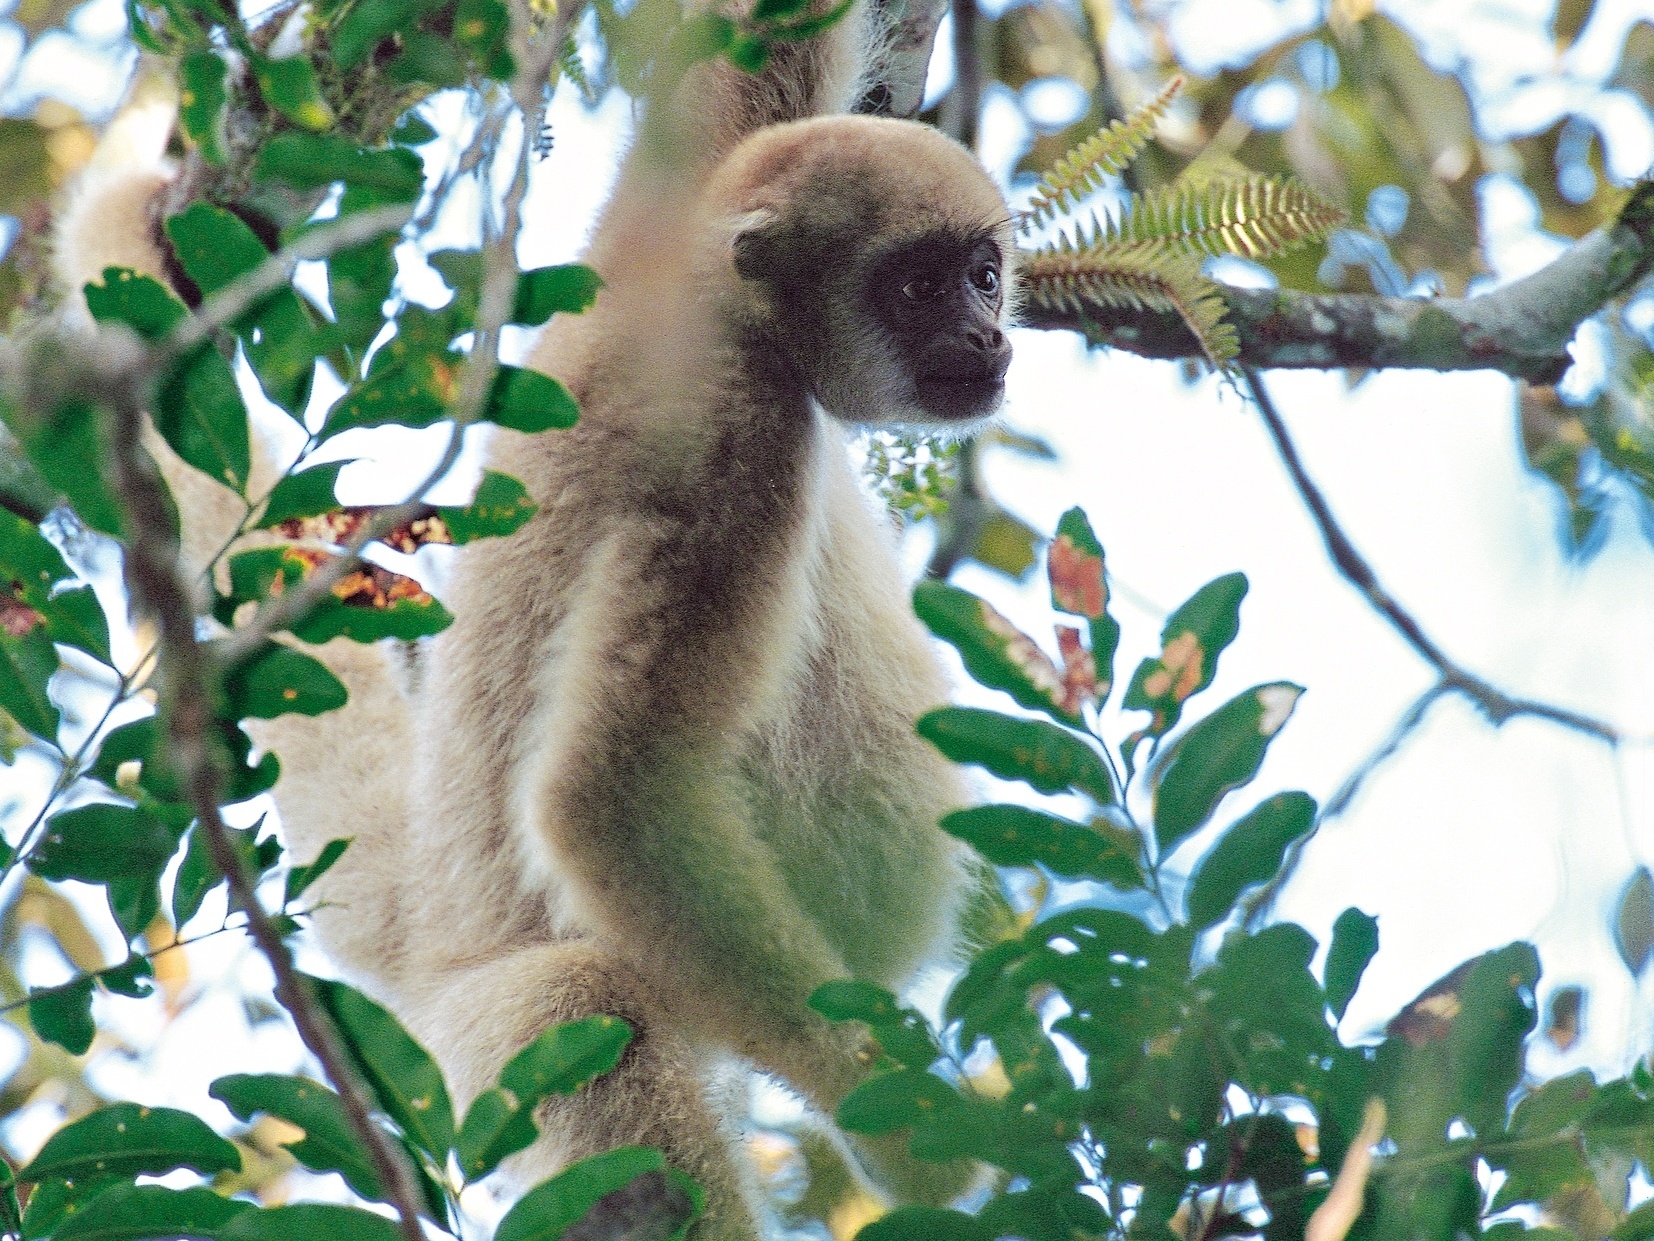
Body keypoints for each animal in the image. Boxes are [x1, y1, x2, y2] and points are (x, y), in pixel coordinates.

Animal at [54, 4, 1018, 1237]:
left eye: (985, 276)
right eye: (919, 288)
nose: (987, 339)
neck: (711, 300)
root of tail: (430, 920)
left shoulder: (681, 199)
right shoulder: (728, 439)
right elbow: (607, 795)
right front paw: (920, 1139)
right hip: (498, 1027)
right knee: (584, 1005)